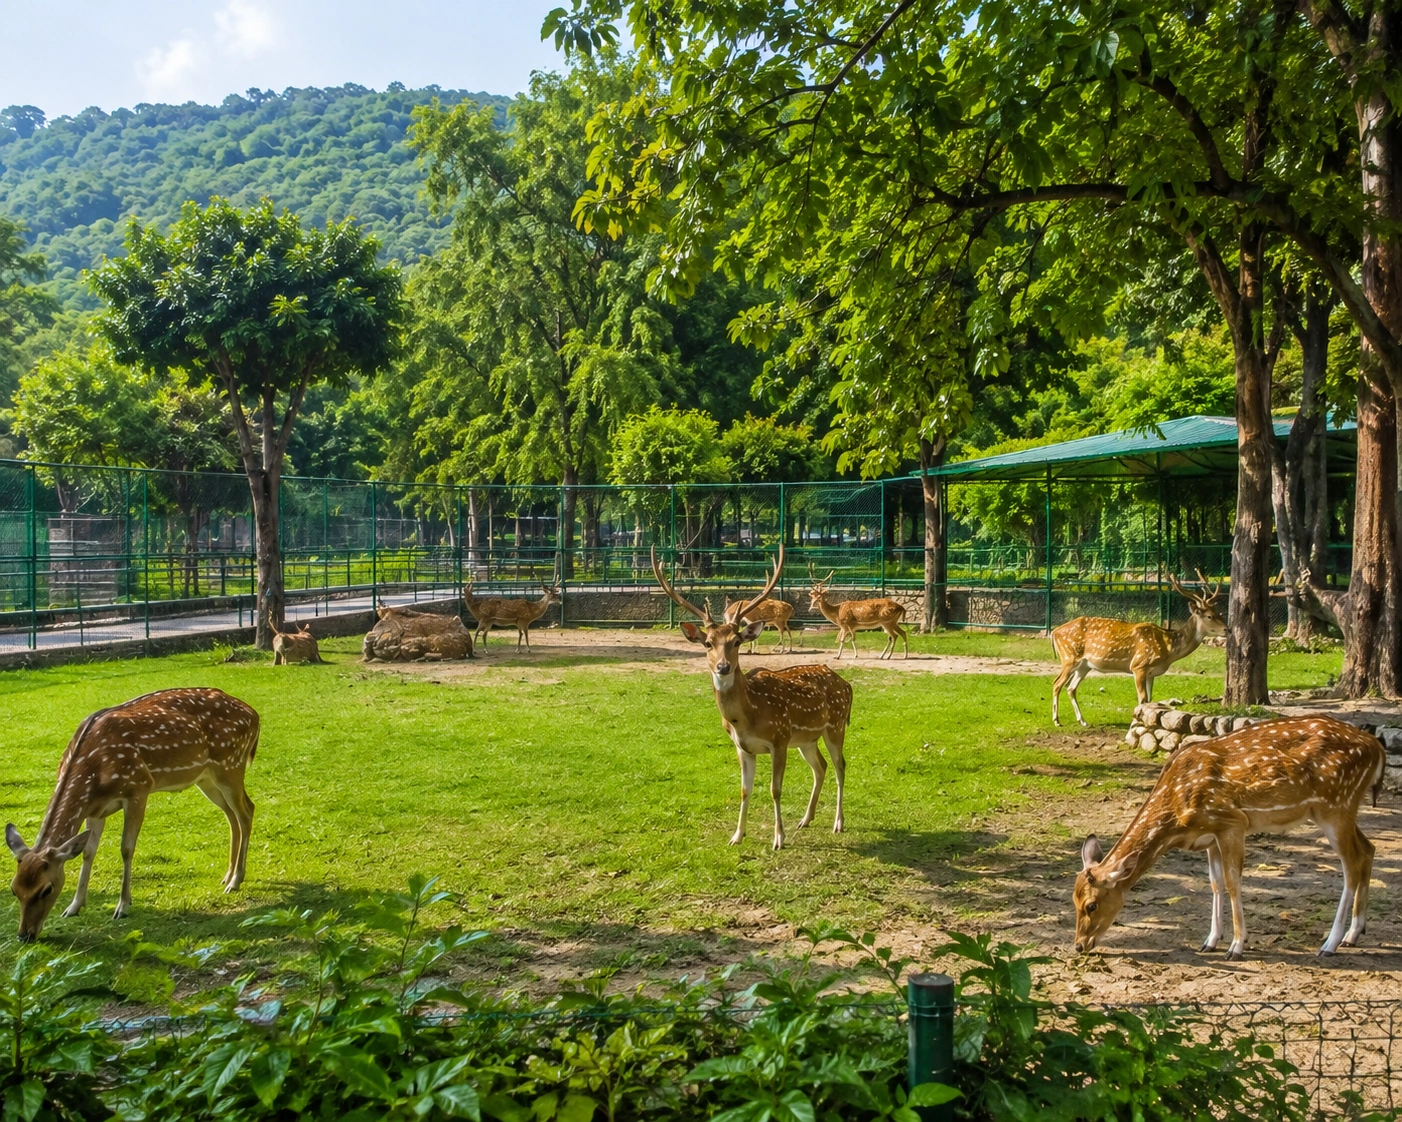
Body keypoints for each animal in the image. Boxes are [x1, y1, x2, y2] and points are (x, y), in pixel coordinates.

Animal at [6, 688, 259, 942]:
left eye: (46, 889)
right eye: (14, 889)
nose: (24, 935)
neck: (93, 771)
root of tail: (254, 715)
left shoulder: (139, 787)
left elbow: (126, 848)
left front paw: (123, 906)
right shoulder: (95, 808)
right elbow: (88, 852)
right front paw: (73, 907)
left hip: (230, 765)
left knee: (247, 811)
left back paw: (235, 881)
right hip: (206, 779)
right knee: (232, 815)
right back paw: (227, 875)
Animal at [654, 545, 852, 850]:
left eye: (736, 641)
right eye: (707, 643)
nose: (723, 666)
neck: (747, 716)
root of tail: (847, 685)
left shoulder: (780, 739)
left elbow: (775, 790)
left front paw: (778, 839)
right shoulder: (742, 747)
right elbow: (745, 790)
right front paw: (737, 836)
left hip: (836, 726)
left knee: (841, 765)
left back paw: (838, 823)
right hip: (806, 739)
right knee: (821, 767)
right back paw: (805, 819)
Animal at [1051, 570, 1226, 727]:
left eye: (1219, 612)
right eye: (1209, 616)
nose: (1226, 629)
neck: (1168, 650)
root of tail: (1054, 632)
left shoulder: (1151, 673)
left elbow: (1149, 700)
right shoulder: (1138, 666)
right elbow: (1142, 699)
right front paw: (1136, 723)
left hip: (1084, 665)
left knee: (1071, 688)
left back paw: (1082, 721)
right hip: (1069, 657)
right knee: (1057, 683)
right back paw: (1057, 720)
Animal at [1075, 715, 1386, 961]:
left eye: (1091, 904)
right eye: (1073, 900)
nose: (1079, 945)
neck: (1176, 815)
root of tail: (1378, 748)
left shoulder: (1232, 822)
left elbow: (1233, 881)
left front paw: (1236, 946)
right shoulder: (1209, 836)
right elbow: (1215, 883)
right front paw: (1210, 941)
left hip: (1336, 805)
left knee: (1352, 865)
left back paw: (1330, 943)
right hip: (1340, 809)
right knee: (1368, 849)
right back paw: (1354, 933)